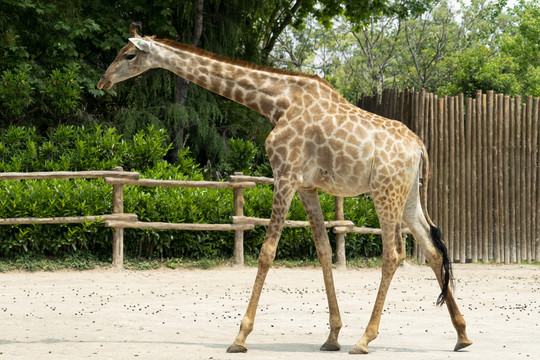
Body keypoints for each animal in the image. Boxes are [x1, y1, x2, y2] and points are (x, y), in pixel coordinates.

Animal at [98, 23, 472, 354]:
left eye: (129, 54)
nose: (103, 81)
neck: (276, 103)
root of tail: (419, 147)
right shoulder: (307, 186)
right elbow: (323, 250)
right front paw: (332, 336)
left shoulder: (285, 174)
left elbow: (267, 252)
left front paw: (240, 337)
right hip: (408, 197)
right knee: (432, 249)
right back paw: (462, 335)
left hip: (386, 192)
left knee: (394, 253)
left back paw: (365, 339)